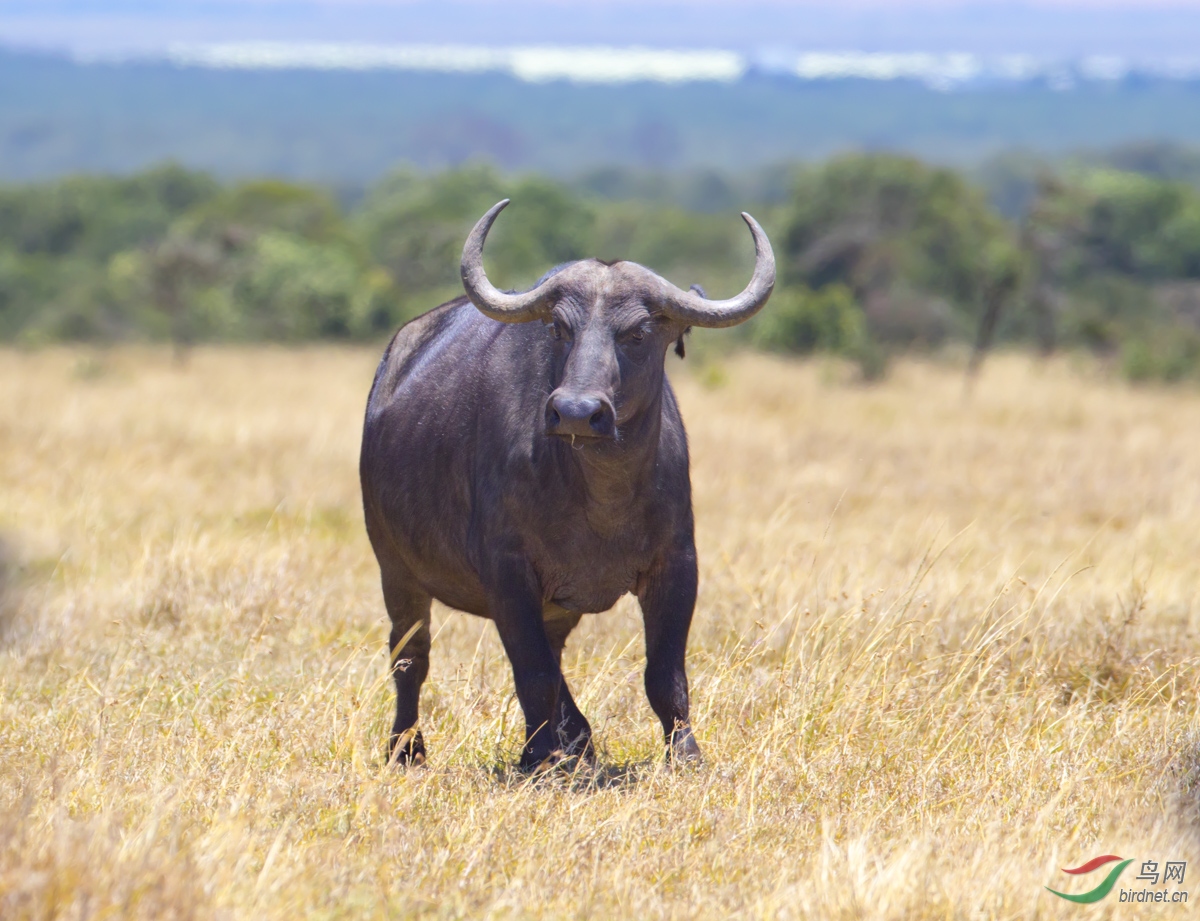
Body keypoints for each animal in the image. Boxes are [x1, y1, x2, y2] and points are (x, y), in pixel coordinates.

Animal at [360, 201, 772, 767]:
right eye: (558, 328)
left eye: (638, 332)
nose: (577, 412)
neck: (601, 498)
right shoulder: (508, 573)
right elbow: (531, 674)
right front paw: (535, 758)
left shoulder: (677, 564)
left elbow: (664, 676)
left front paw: (686, 755)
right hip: (395, 569)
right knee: (411, 658)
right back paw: (408, 749)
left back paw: (578, 742)